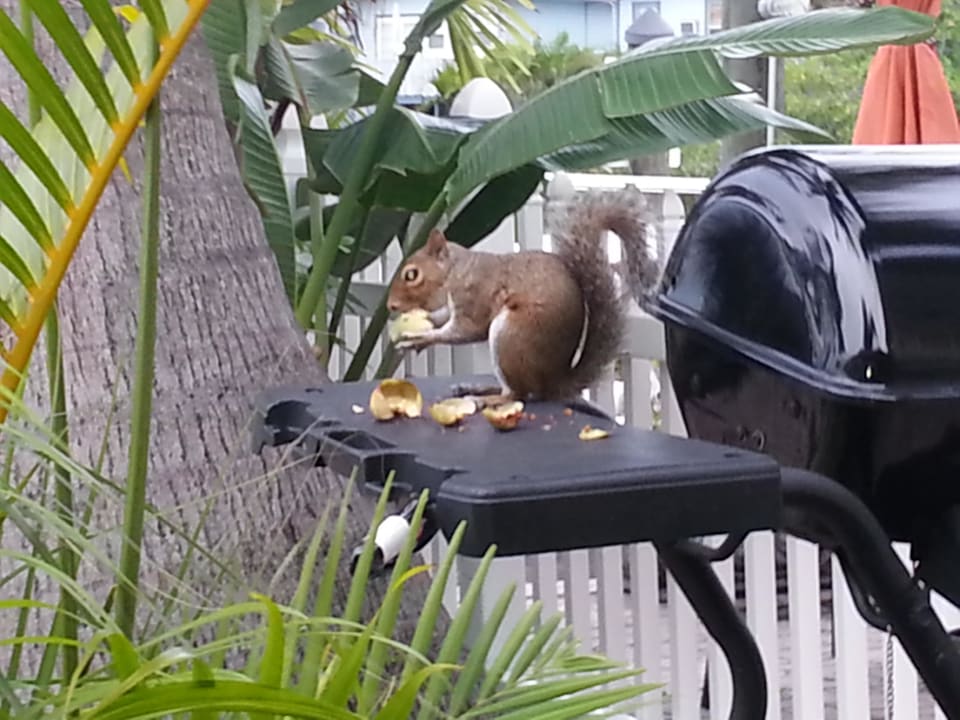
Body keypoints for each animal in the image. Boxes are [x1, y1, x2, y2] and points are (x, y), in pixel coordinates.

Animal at [386, 189, 659, 405]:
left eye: (412, 275)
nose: (390, 305)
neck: (457, 271)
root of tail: (551, 383)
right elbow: (442, 316)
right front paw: (425, 323)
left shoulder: (475, 298)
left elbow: (464, 331)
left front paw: (419, 338)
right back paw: (476, 388)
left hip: (510, 337)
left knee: (517, 394)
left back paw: (486, 399)